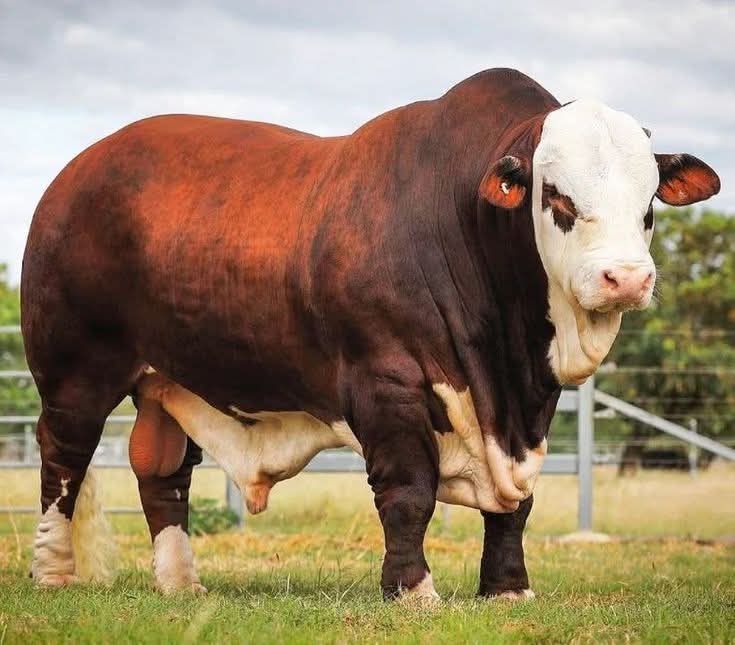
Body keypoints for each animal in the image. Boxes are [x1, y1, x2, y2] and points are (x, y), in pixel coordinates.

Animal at [21, 68, 720, 601]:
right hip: (74, 370)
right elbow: (408, 491)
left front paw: (506, 588)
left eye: (649, 206)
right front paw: (412, 590)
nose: (626, 278)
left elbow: (515, 504)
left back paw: (180, 583)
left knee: (164, 472)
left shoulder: (528, 408)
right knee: (63, 457)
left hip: (172, 378)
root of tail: (79, 171)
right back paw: (53, 573)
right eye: (557, 197)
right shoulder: (386, 382)